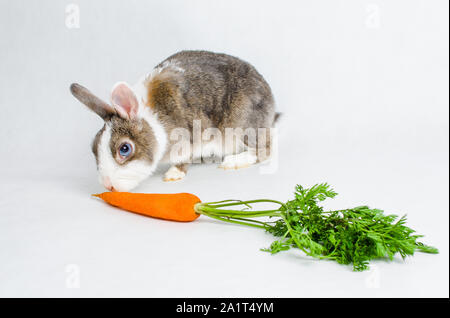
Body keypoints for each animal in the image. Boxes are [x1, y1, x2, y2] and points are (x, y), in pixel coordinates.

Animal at [70, 49, 278, 191]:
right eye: (93, 146)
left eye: (125, 149)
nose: (107, 186)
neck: (153, 120)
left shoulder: (188, 139)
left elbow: (183, 159)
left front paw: (173, 174)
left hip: (244, 126)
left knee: (264, 151)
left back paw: (232, 162)